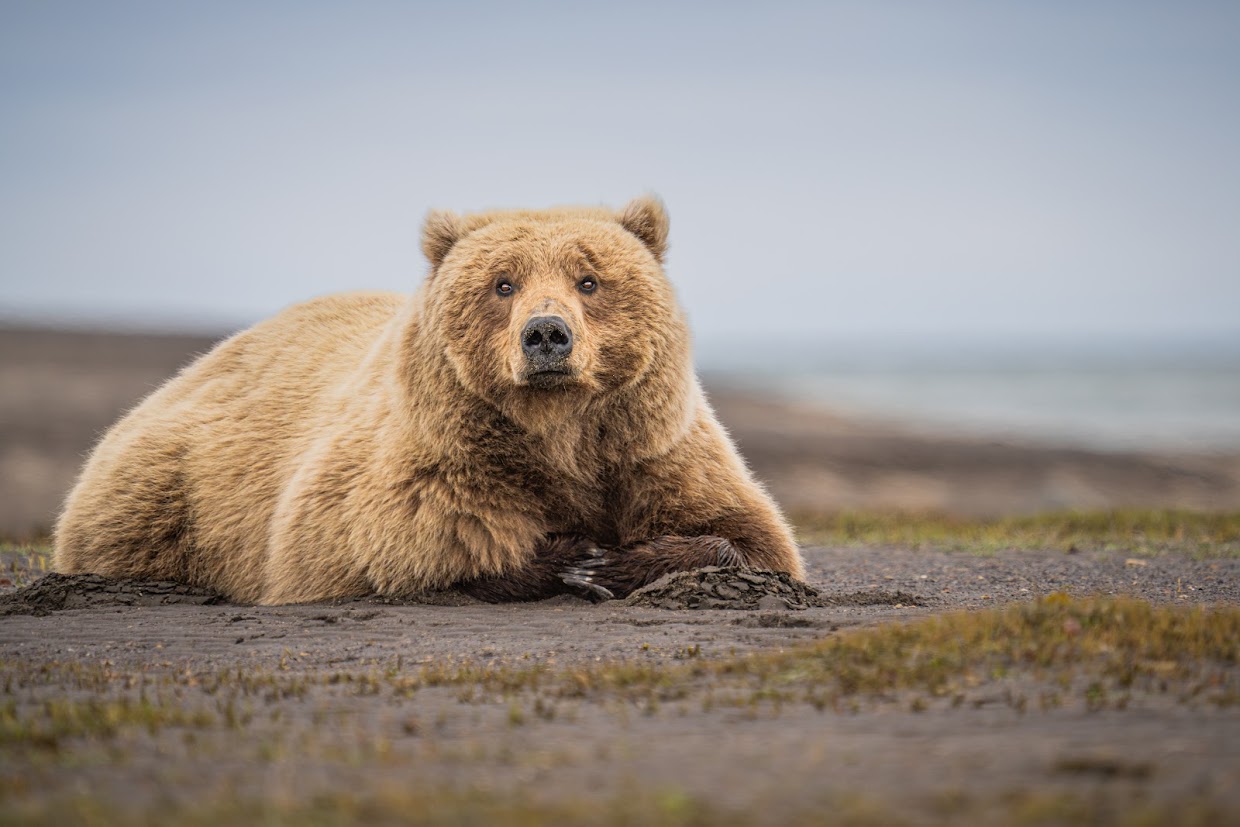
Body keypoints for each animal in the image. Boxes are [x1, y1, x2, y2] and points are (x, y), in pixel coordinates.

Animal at [53, 196, 805, 604]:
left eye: (589, 279)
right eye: (503, 283)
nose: (547, 334)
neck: (559, 435)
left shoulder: (654, 452)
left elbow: (751, 535)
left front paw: (615, 560)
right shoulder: (424, 465)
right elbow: (413, 540)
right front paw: (567, 557)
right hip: (169, 478)